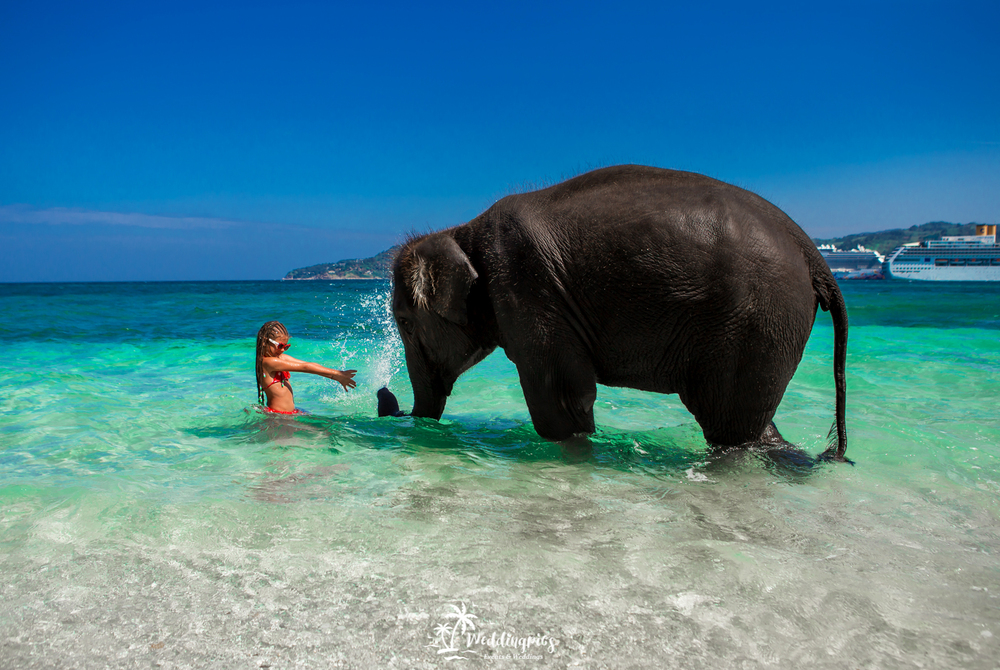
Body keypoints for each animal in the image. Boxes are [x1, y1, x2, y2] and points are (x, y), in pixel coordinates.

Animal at [390, 165, 852, 464]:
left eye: (405, 324)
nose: (388, 400)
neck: (461, 231)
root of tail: (813, 254)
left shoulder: (527, 289)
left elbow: (560, 399)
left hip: (755, 322)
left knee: (728, 427)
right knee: (749, 426)